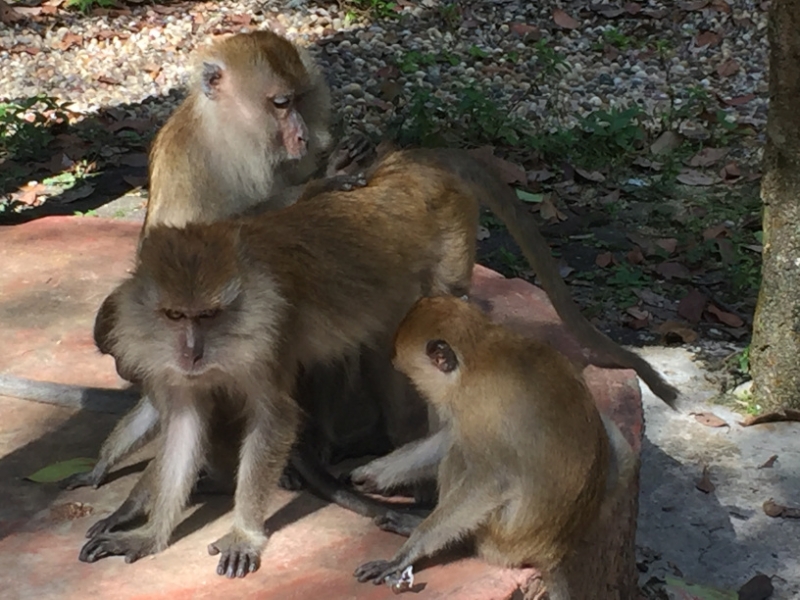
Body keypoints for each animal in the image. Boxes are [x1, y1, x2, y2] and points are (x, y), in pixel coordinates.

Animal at [351, 296, 637, 600]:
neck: (479, 354)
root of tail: (551, 551)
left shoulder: (474, 402)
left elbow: (492, 479)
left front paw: (406, 554)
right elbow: (450, 437)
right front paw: (374, 474)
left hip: (500, 538)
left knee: (460, 457)